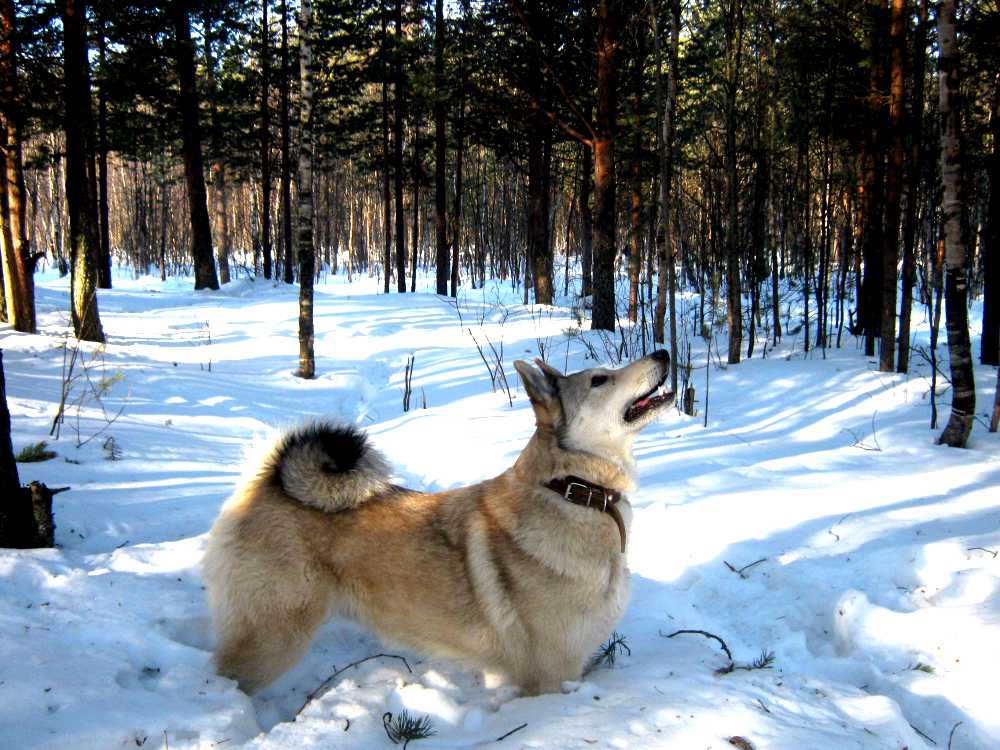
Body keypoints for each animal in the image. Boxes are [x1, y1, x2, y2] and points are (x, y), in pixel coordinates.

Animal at [202, 352, 672, 700]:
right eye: (600, 380)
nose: (662, 353)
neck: (569, 489)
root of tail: (266, 481)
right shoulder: (549, 678)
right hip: (271, 638)